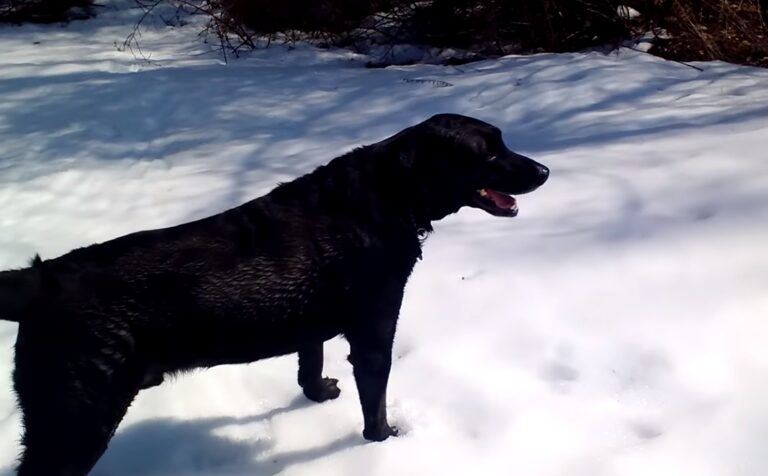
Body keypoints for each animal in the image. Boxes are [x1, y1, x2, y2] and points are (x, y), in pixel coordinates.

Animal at [1, 113, 552, 474]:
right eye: (489, 152)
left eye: (503, 143)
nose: (545, 171)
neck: (385, 196)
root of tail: (38, 281)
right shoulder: (374, 332)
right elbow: (374, 399)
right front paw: (384, 441)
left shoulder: (312, 325)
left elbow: (309, 361)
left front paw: (317, 393)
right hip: (76, 419)